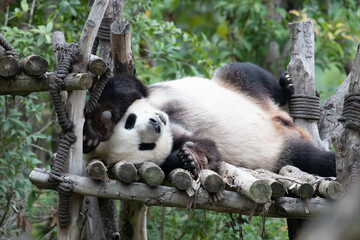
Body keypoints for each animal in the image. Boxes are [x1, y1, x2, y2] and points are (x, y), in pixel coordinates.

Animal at [83, 62, 334, 178]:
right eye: (144, 146)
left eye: (130, 121)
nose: (155, 124)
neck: (169, 117)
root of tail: (281, 120)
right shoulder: (177, 137)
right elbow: (210, 150)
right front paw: (190, 159)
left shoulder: (151, 92)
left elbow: (123, 85)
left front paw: (98, 126)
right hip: (279, 152)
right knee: (310, 159)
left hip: (239, 86)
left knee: (248, 73)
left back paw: (285, 86)